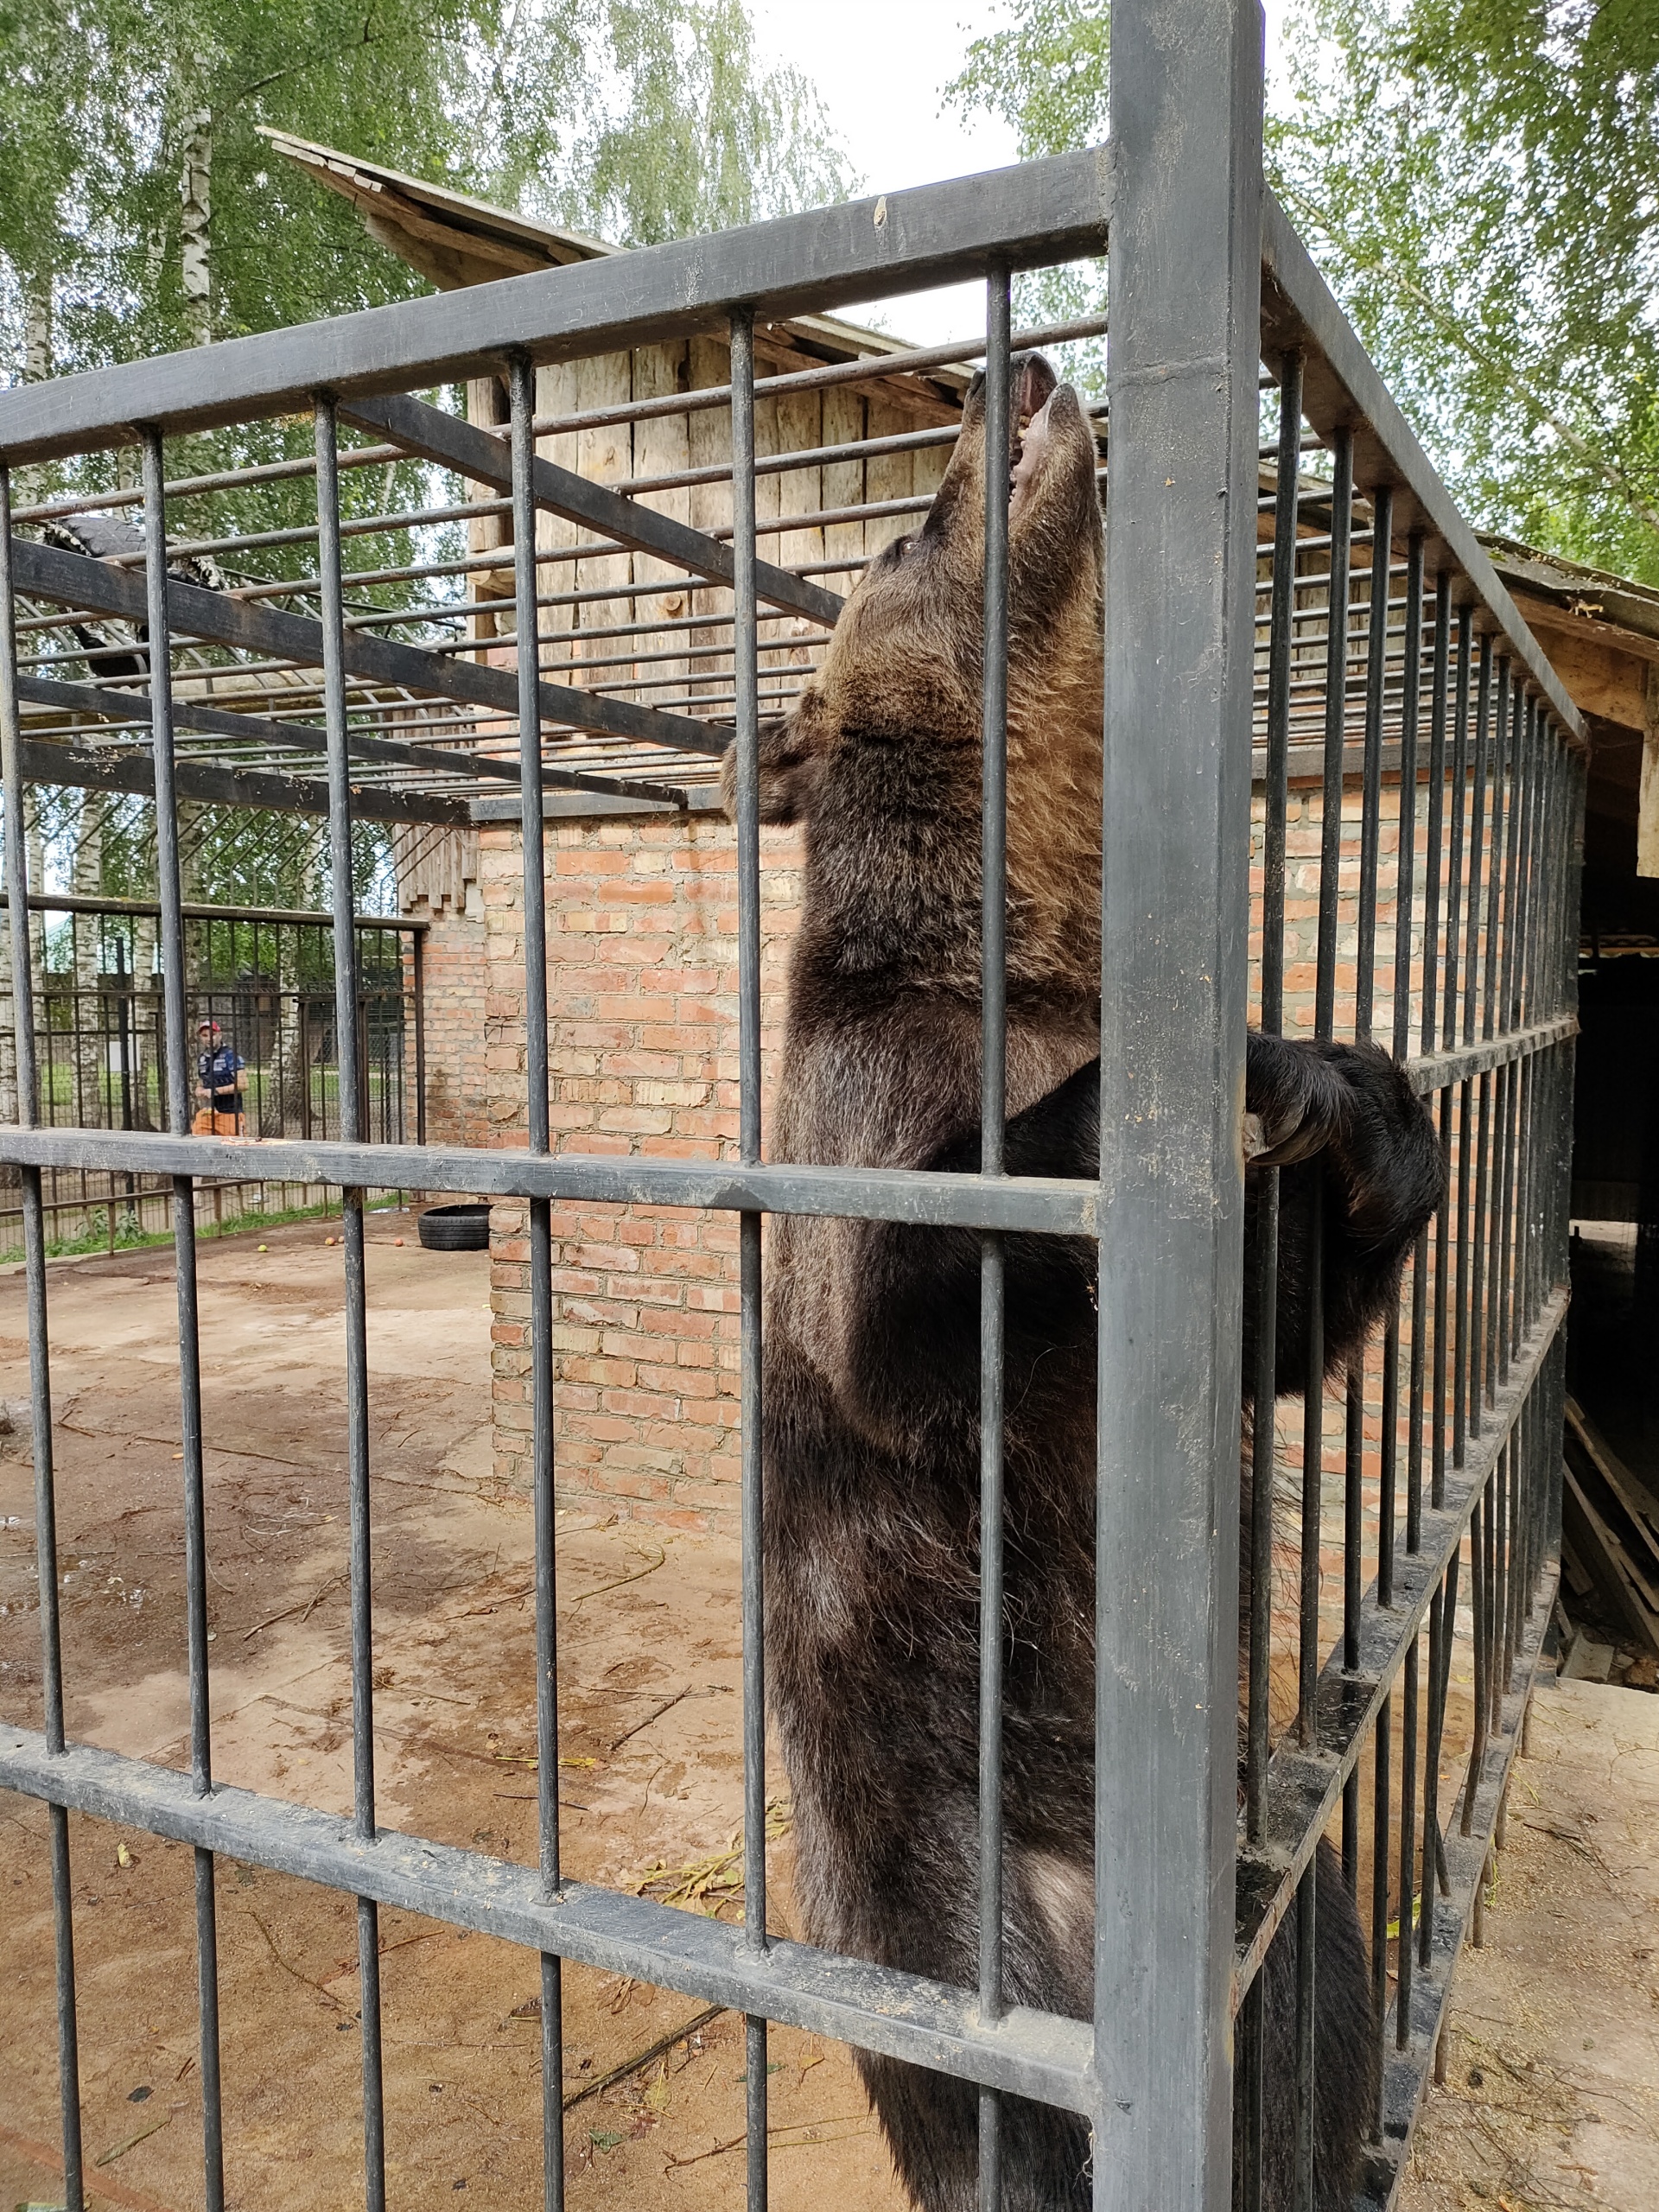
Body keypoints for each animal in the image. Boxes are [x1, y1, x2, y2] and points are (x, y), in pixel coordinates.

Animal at [725, 353, 1442, 2202]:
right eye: (902, 525)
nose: (1023, 371)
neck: (1028, 950)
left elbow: (1282, 1329)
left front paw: (1358, 1107)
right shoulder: (862, 1102)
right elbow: (899, 1319)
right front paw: (1171, 1085)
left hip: (1281, 1896)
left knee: (1321, 2011)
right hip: (958, 1904)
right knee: (1010, 2123)